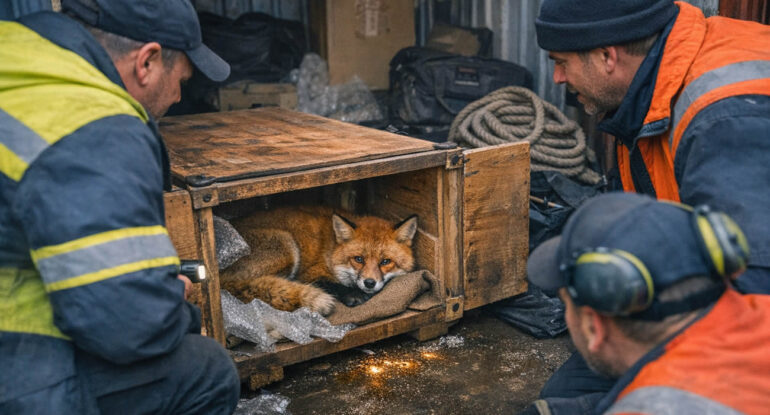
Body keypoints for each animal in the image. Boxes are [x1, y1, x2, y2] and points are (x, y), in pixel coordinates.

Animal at [220, 206, 418, 316]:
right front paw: (353, 295)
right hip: (286, 247)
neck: (331, 251)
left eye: (385, 261)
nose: (369, 283)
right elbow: (332, 285)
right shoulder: (308, 274)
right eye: (358, 259)